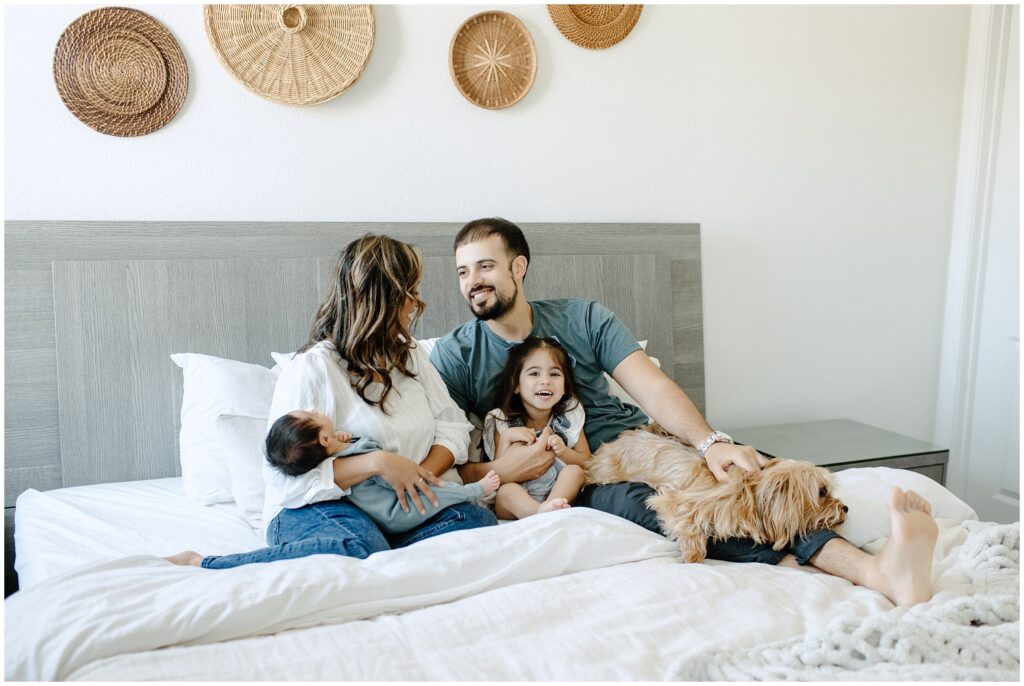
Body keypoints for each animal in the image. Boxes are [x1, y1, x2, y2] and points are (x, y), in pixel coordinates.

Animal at [585, 430, 847, 565]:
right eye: (822, 492)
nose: (845, 508)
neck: (748, 498)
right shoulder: (677, 502)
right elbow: (688, 527)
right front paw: (693, 558)